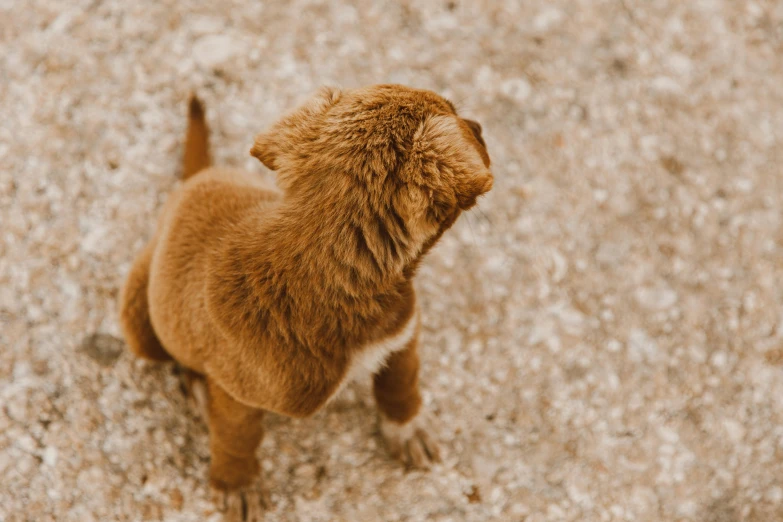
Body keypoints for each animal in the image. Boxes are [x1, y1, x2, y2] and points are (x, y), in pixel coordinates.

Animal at [119, 85, 494, 516]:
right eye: (457, 115)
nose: (480, 125)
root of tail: (197, 177)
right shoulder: (237, 393)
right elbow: (235, 438)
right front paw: (236, 483)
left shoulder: (402, 336)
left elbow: (401, 384)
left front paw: (408, 429)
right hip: (140, 322)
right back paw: (198, 389)